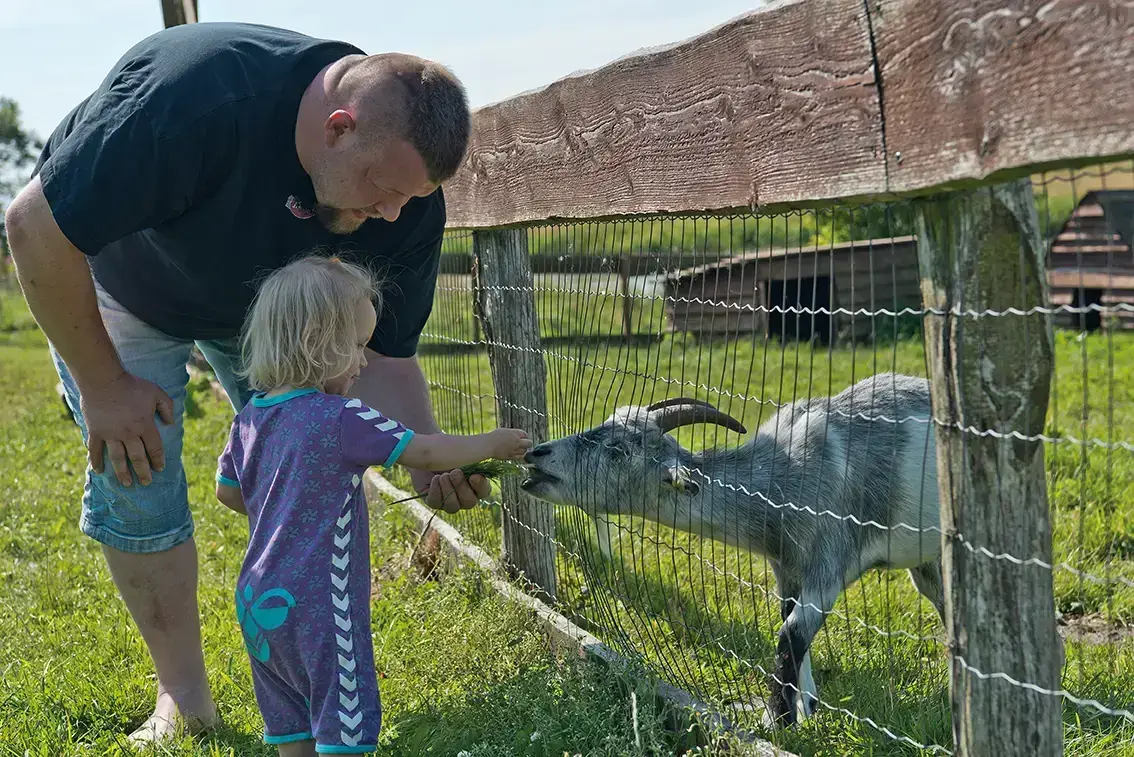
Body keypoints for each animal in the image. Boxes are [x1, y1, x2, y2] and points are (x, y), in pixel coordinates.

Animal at [521, 372, 944, 727]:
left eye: (618, 451)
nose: (536, 453)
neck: (783, 478)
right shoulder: (786, 567)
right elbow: (790, 623)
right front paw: (805, 707)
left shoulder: (827, 563)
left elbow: (791, 634)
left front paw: (778, 722)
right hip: (929, 564)